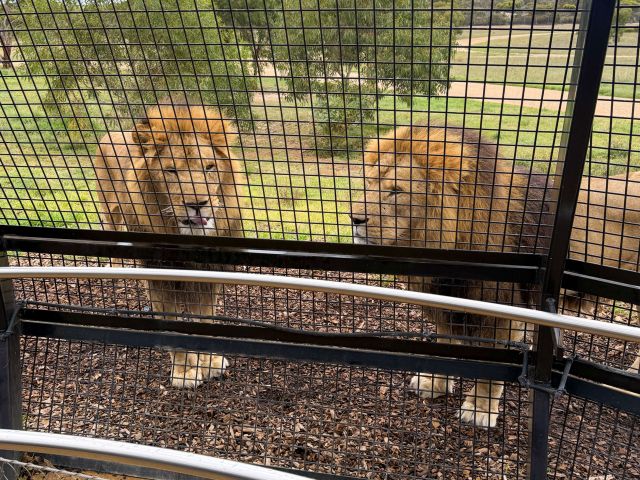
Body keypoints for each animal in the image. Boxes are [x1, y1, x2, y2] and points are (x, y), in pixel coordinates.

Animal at [94, 100, 246, 388]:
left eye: (209, 168)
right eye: (171, 171)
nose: (198, 204)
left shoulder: (208, 276)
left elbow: (206, 319)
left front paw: (209, 363)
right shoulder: (159, 276)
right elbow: (173, 325)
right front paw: (184, 373)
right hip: (109, 207)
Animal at [350, 125, 553, 428]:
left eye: (396, 191)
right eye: (369, 183)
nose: (354, 219)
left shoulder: (502, 311)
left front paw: (479, 409)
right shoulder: (443, 302)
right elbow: (444, 343)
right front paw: (434, 383)